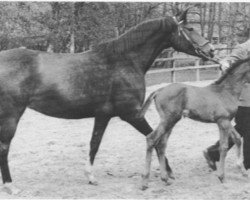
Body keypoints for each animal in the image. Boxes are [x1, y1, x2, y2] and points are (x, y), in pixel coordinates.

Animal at [0, 9, 214, 191]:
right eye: (191, 28)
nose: (211, 50)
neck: (125, 61)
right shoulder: (132, 114)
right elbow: (154, 138)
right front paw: (168, 173)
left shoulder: (103, 116)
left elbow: (94, 144)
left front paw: (90, 177)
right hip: (11, 116)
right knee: (4, 147)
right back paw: (10, 185)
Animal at [140, 58, 250, 189]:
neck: (226, 91)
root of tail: (159, 90)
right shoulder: (222, 121)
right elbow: (224, 146)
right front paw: (222, 177)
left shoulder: (226, 121)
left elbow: (237, 139)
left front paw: (243, 171)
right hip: (168, 120)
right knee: (151, 139)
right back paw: (145, 182)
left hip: (171, 122)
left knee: (161, 144)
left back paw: (165, 179)